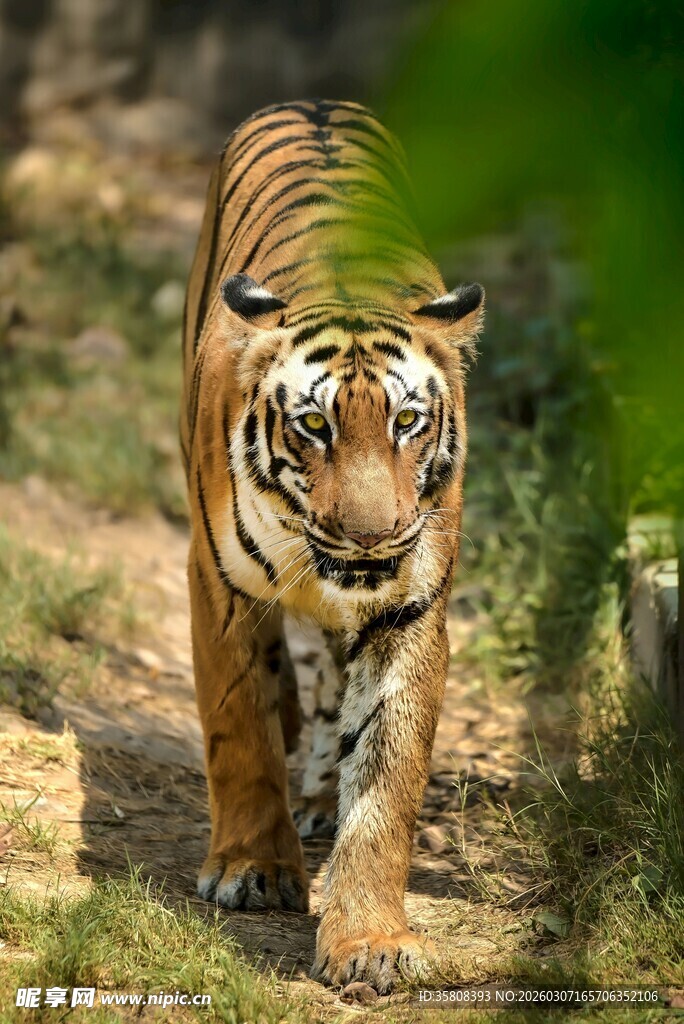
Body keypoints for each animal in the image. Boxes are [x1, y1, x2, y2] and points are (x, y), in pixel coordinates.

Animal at [180, 99, 484, 994]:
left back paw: (318, 799)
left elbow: (385, 775)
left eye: (408, 421)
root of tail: (310, 101)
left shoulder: (411, 607)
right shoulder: (221, 585)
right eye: (314, 425)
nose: (372, 533)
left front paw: (369, 940)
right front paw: (251, 869)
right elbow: (239, 725)